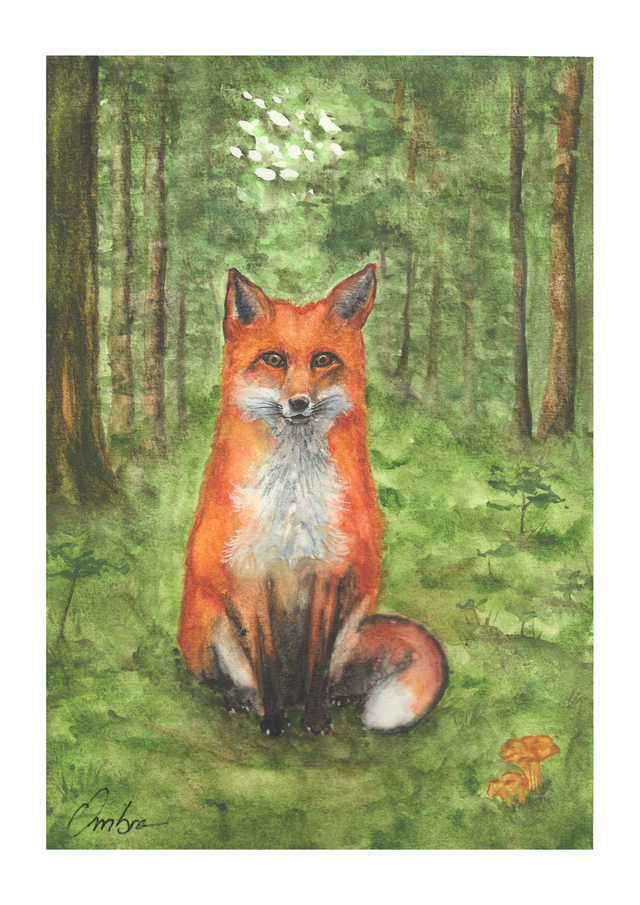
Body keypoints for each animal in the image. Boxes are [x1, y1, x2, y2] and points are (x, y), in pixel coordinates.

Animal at [178, 263, 448, 736]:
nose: (299, 403)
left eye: (322, 359)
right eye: (274, 359)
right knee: (232, 680)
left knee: (334, 675)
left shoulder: (329, 573)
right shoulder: (252, 573)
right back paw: (243, 700)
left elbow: (317, 664)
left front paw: (317, 720)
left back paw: (330, 698)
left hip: (352, 621)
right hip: (209, 622)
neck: (293, 500)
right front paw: (274, 723)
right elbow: (265, 662)